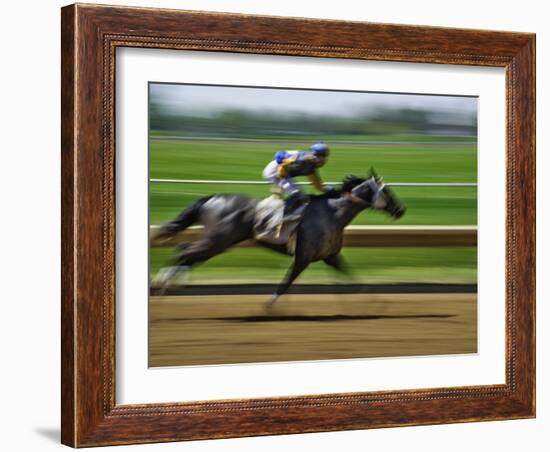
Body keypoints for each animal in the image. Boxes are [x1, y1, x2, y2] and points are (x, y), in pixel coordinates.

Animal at [153, 171, 408, 306]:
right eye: (387, 191)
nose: (401, 210)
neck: (332, 213)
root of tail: (212, 198)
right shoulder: (304, 256)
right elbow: (286, 282)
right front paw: (270, 305)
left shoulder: (330, 256)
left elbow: (354, 279)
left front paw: (377, 303)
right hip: (218, 240)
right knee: (185, 251)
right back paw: (161, 284)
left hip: (217, 242)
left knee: (186, 253)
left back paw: (167, 284)